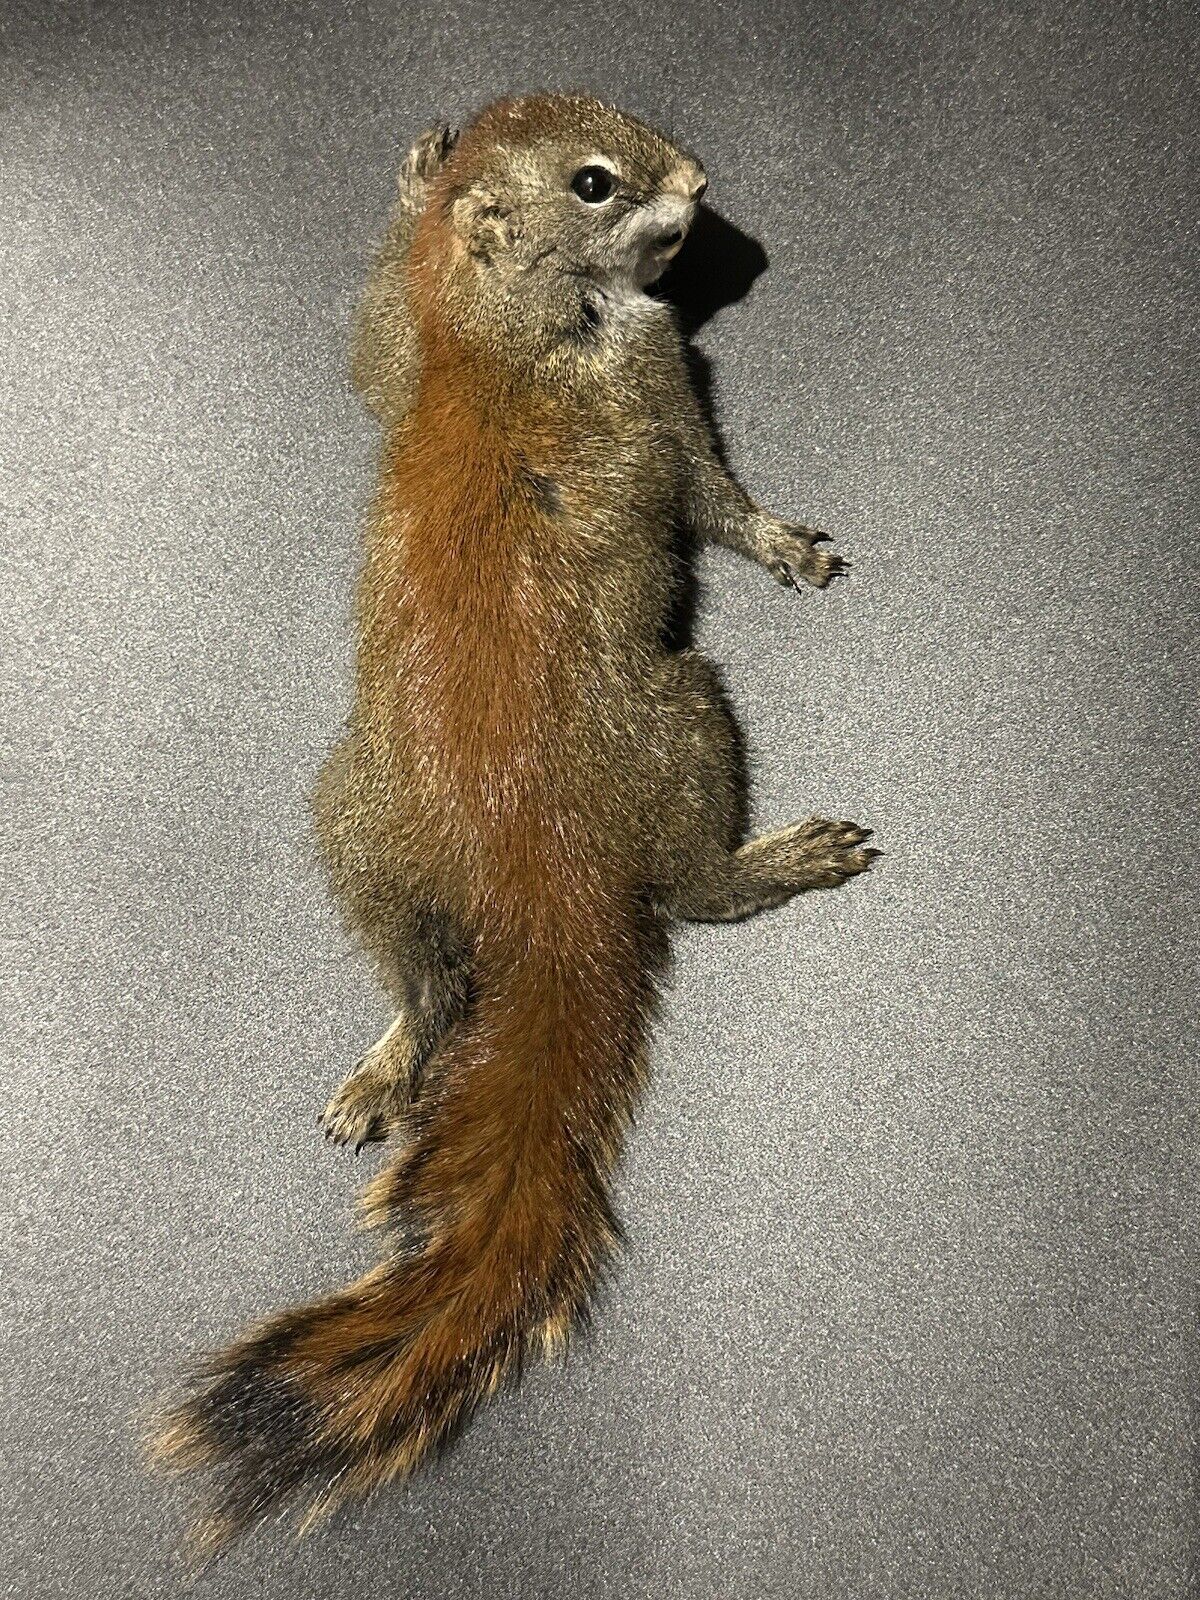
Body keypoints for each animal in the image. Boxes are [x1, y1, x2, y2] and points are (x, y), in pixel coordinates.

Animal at [149, 92, 878, 1555]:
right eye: (597, 183)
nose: (700, 180)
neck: (484, 332)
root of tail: (534, 873)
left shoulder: (397, 344)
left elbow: (363, 341)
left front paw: (415, 169)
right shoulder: (652, 405)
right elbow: (716, 500)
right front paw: (789, 545)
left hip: (360, 834)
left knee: (432, 983)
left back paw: (384, 1071)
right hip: (682, 717)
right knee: (690, 892)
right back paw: (775, 857)